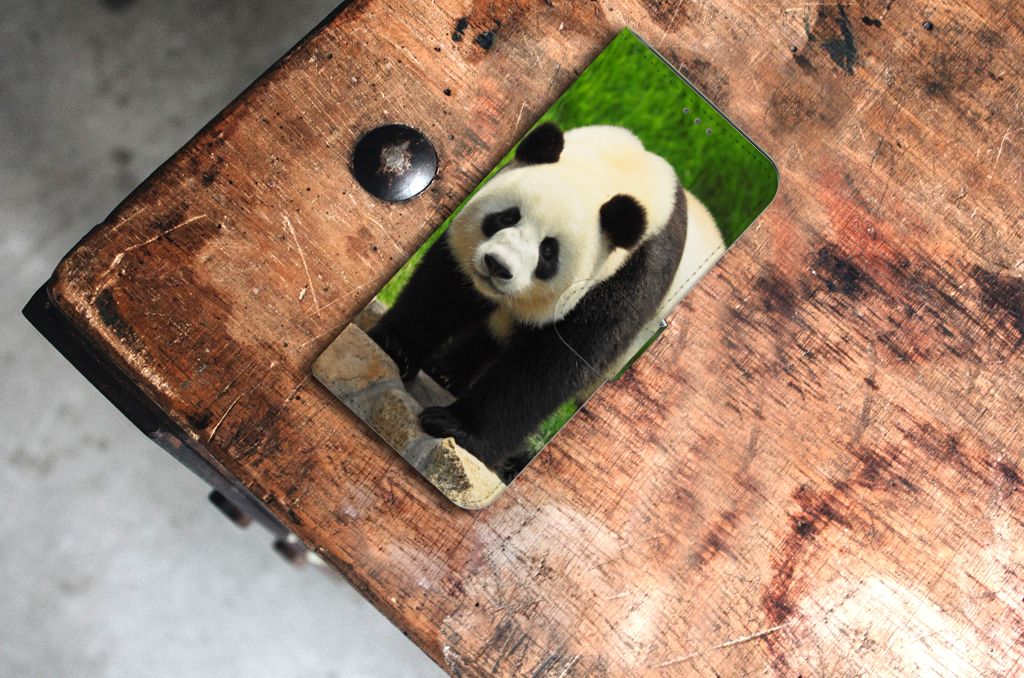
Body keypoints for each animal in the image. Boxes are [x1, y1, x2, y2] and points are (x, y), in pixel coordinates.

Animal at [368, 122, 723, 481]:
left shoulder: (628, 278)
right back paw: (446, 371)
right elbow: (446, 288)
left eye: (548, 252)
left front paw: (455, 427)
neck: (618, 172)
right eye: (506, 218)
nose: (498, 266)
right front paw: (397, 348)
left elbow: (551, 365)